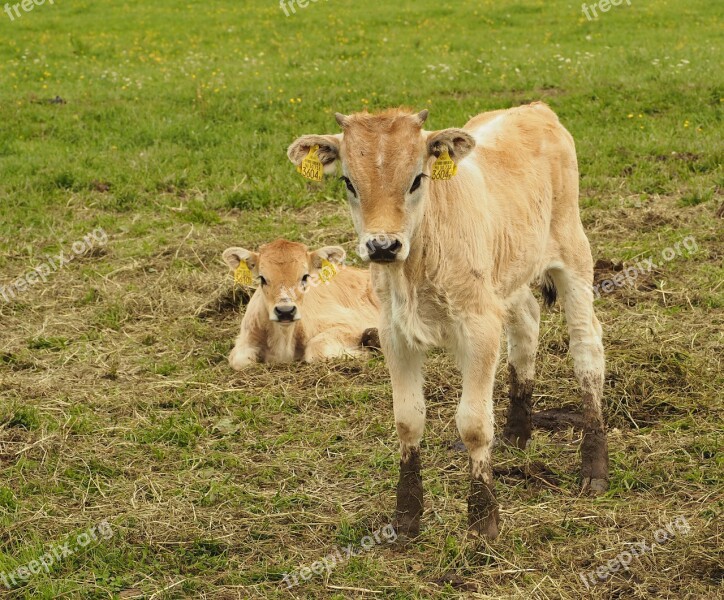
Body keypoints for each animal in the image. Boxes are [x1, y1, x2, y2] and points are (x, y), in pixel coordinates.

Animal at [221, 237, 378, 368]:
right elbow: (239, 360)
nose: (285, 311)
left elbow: (316, 349)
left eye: (305, 277)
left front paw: (365, 352)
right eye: (262, 278)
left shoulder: (352, 324)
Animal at [286, 102, 608, 540]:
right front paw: (406, 517)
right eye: (350, 183)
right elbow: (407, 420)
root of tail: (533, 108)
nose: (382, 246)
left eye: (416, 179)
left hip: (573, 252)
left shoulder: (479, 327)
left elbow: (473, 424)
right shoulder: (394, 334)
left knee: (587, 347)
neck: (417, 263)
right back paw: (515, 434)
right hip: (509, 274)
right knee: (526, 323)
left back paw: (594, 466)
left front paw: (483, 520)